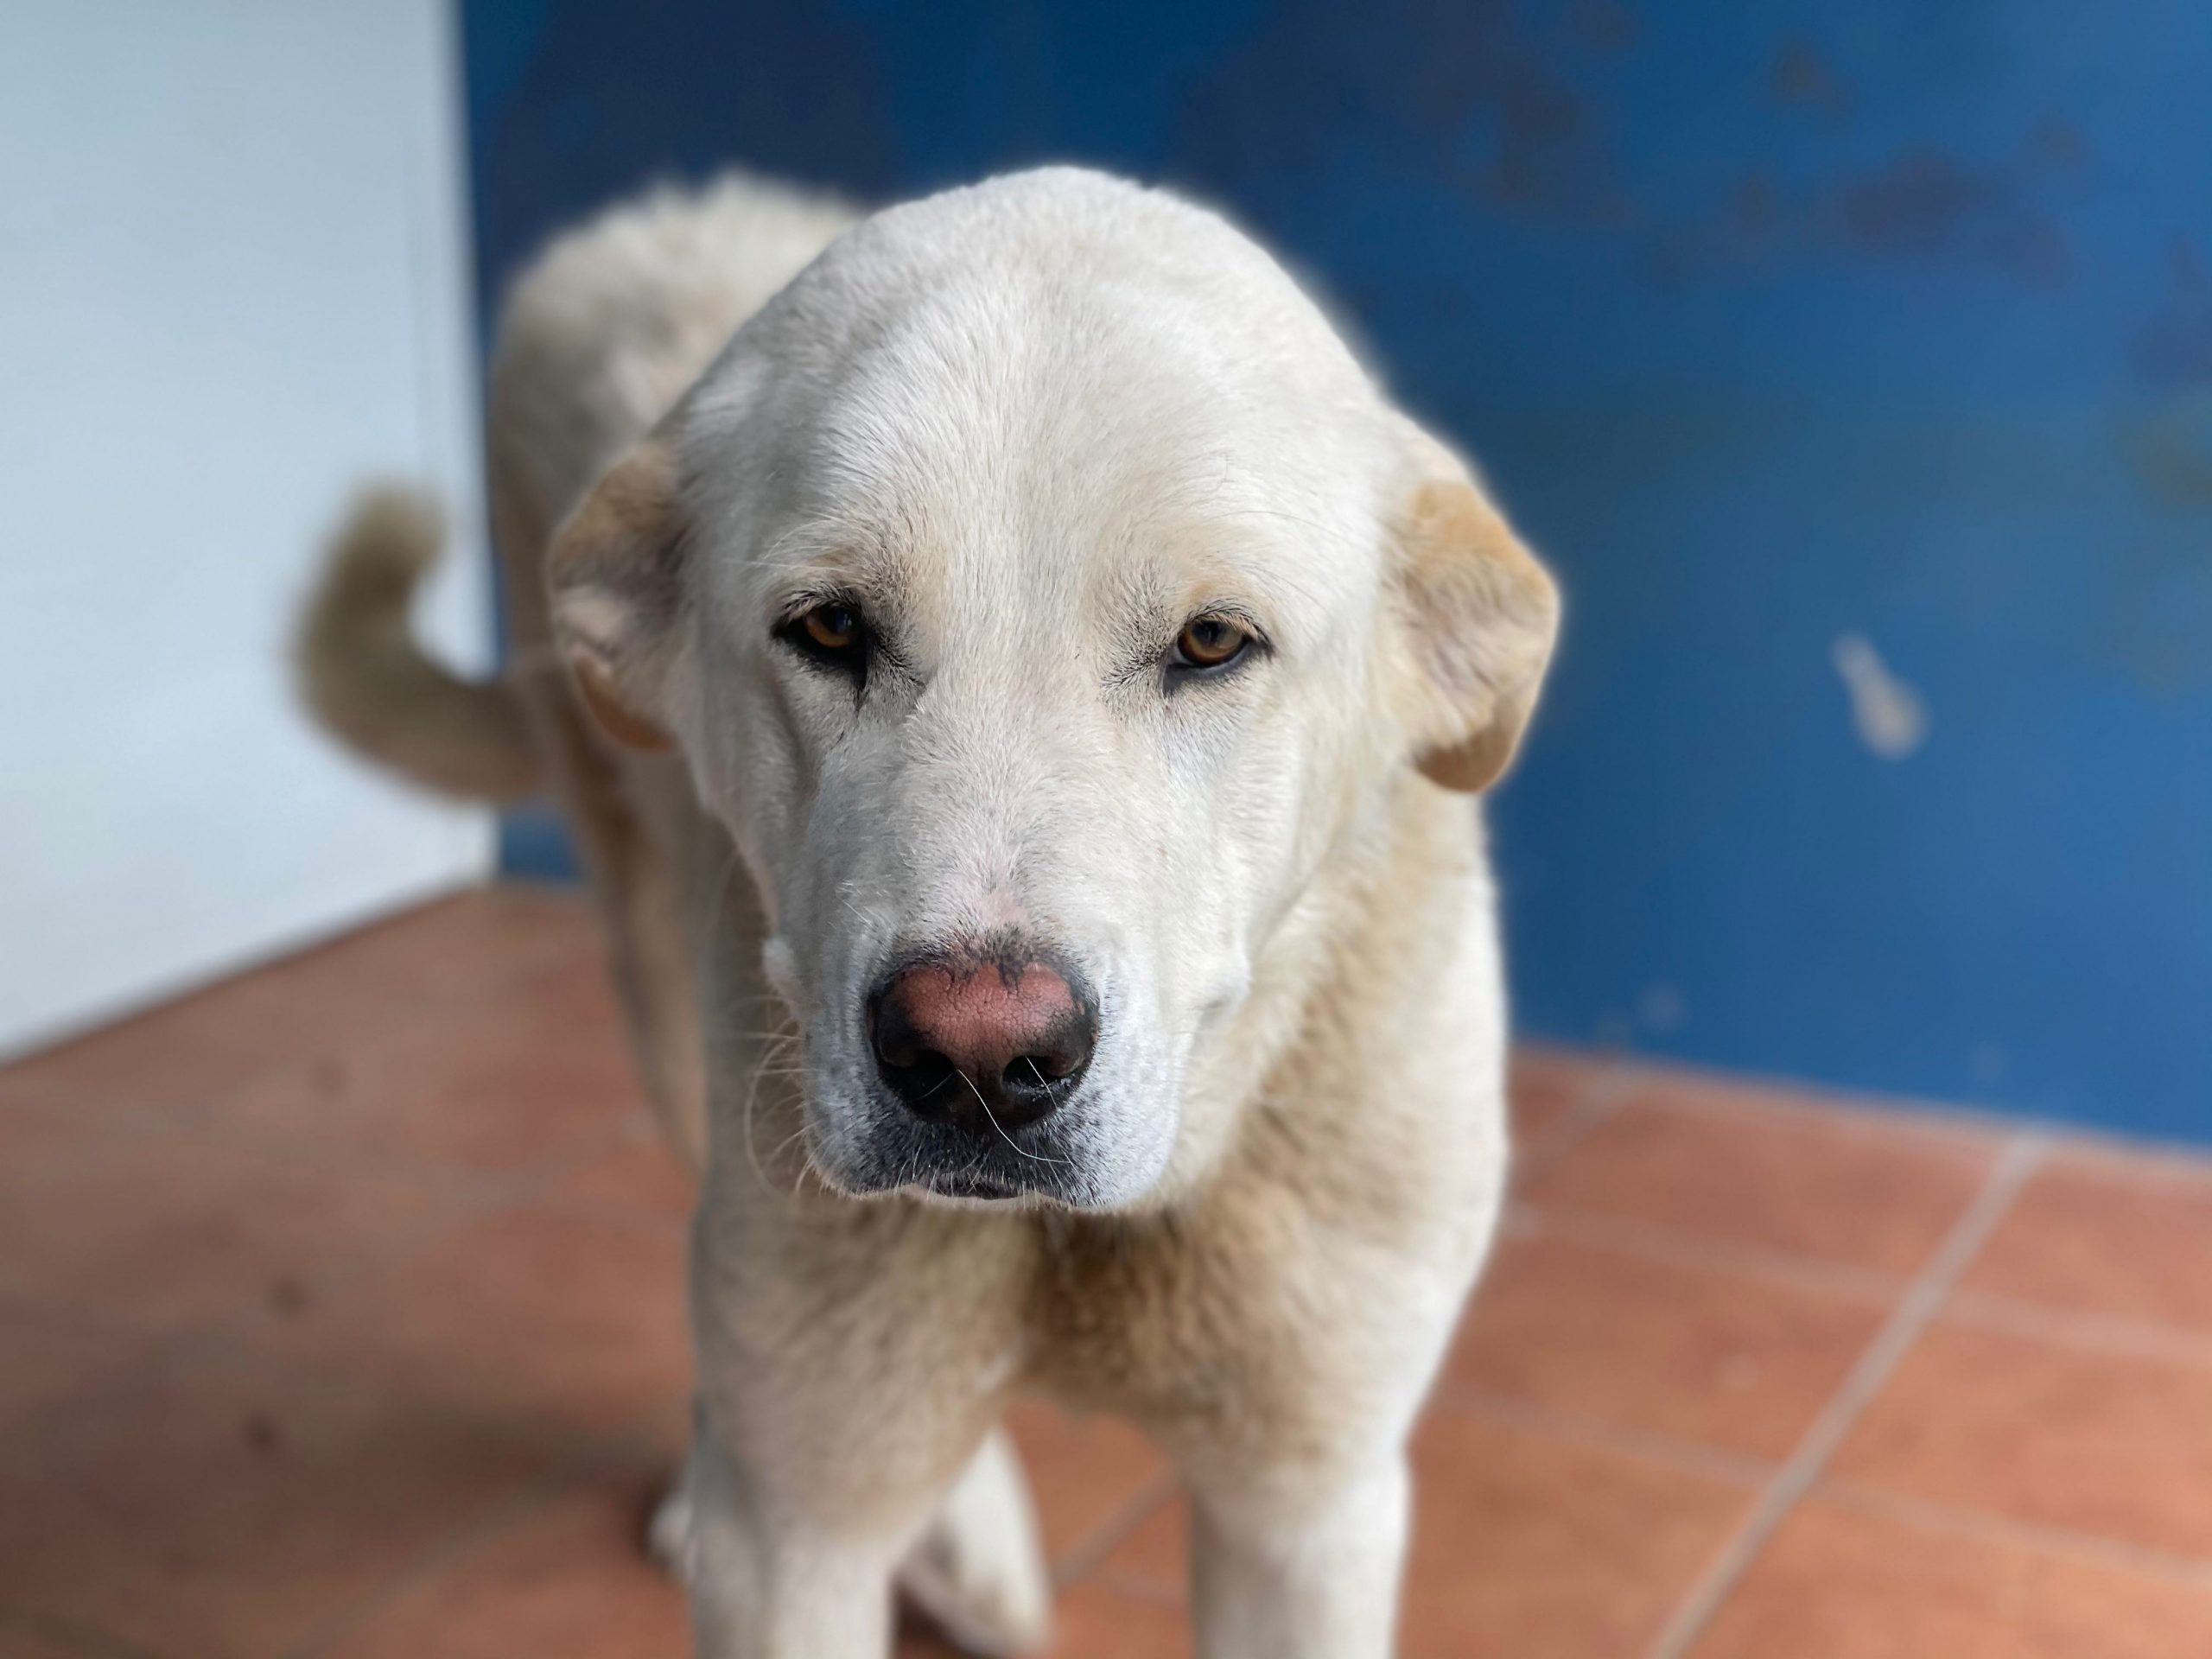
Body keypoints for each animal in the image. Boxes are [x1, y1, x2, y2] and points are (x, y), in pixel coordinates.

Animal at [300, 165, 1559, 1658]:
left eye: (1211, 642)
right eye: (830, 629)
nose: (976, 1058)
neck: (1071, 1249)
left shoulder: (1308, 1509)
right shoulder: (797, 1538)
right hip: (672, 1031)